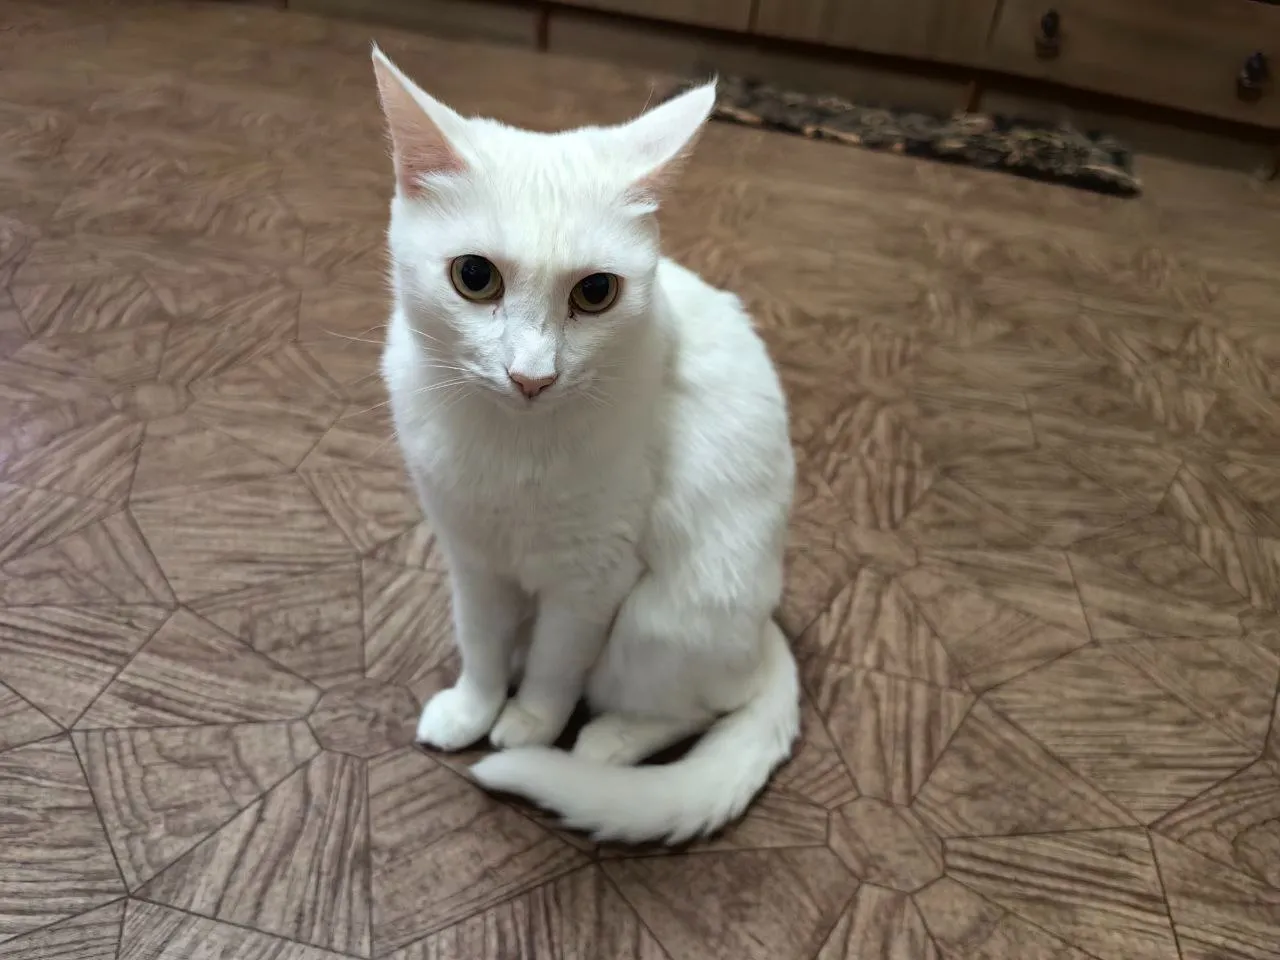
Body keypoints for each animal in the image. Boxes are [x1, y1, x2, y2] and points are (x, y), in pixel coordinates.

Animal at [373, 48, 798, 844]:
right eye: (474, 277)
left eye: (596, 293)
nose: (532, 376)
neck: (507, 443)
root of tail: (765, 636)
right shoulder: (470, 555)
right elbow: (480, 643)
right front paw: (473, 708)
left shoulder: (592, 576)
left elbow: (555, 666)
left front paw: (529, 727)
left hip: (662, 618)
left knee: (695, 705)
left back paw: (606, 743)